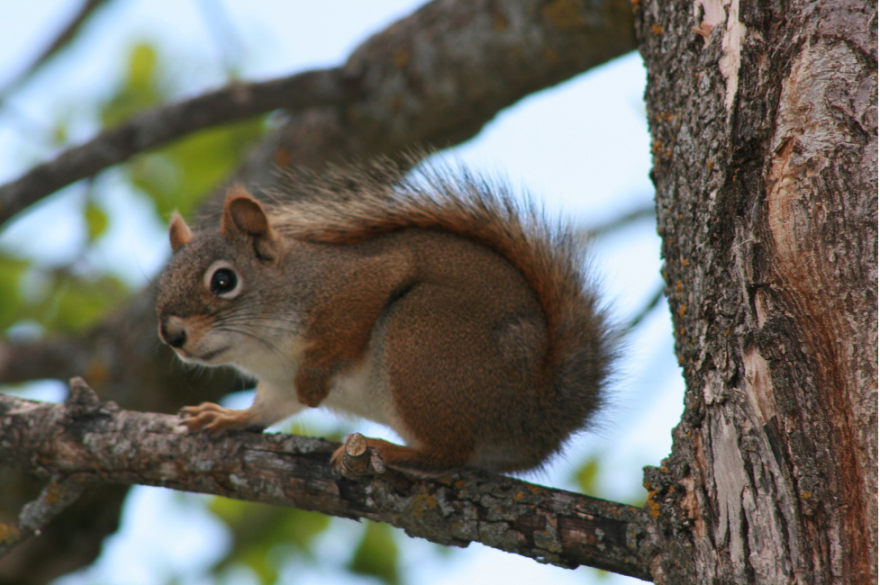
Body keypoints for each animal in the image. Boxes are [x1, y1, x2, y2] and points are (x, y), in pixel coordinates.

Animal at [155, 160, 612, 474]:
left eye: (224, 280)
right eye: (160, 284)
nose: (171, 335)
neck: (264, 347)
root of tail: (541, 413)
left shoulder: (362, 281)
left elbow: (346, 330)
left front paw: (313, 383)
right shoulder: (276, 383)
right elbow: (269, 408)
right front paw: (226, 417)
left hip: (422, 336)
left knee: (449, 455)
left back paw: (391, 450)